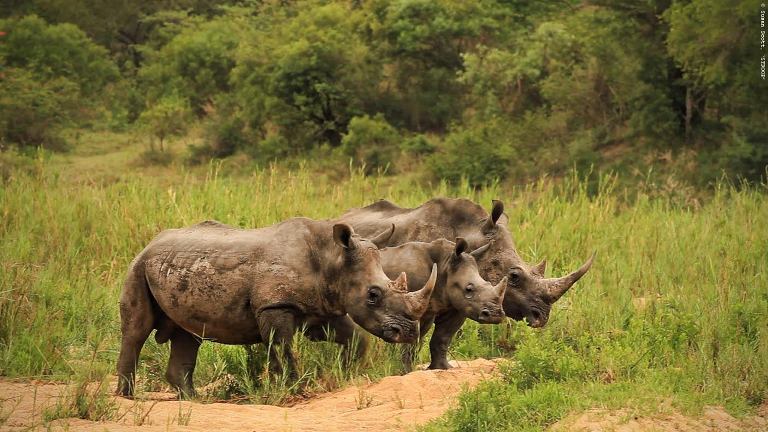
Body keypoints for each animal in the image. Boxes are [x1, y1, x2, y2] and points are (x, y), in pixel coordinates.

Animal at [116, 219, 436, 398]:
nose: (409, 332)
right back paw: (128, 397)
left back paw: (192, 399)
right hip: (138, 266)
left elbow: (356, 339)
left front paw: (346, 374)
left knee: (188, 334)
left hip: (176, 266)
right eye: (373, 294)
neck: (332, 259)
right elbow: (282, 347)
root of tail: (151, 241)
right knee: (136, 330)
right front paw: (294, 390)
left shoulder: (322, 307)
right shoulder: (274, 306)